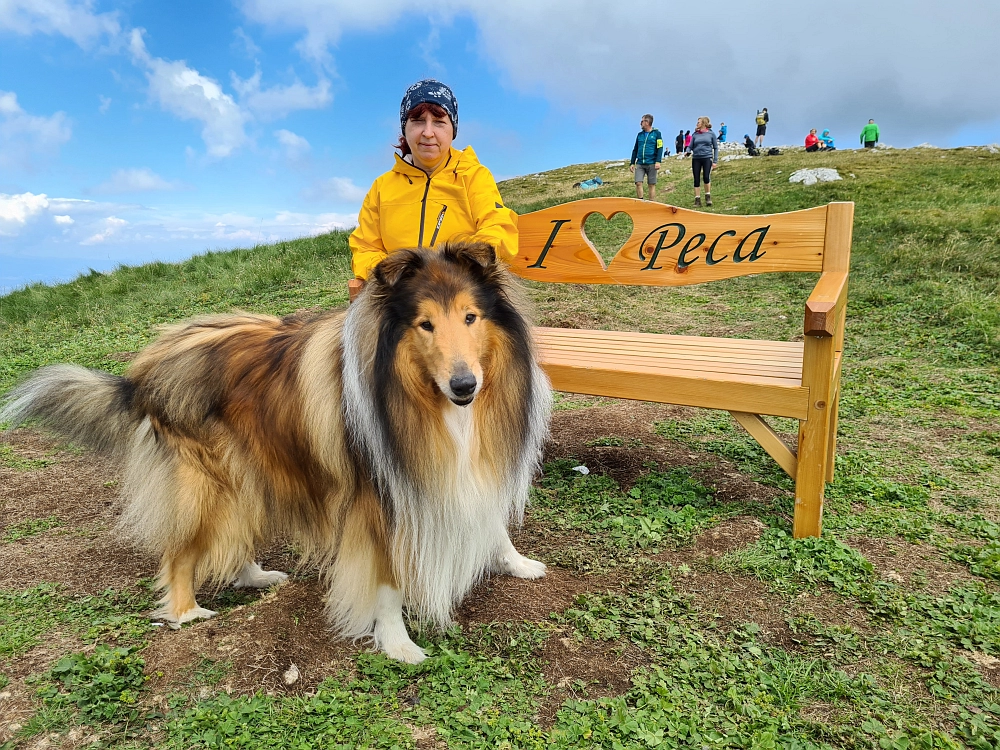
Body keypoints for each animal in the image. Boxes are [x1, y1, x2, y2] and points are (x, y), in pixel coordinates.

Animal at [0, 242, 552, 664]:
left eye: (470, 317)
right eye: (425, 324)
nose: (465, 386)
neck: (420, 397)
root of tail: (143, 369)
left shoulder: (471, 468)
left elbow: (492, 523)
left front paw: (517, 563)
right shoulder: (377, 501)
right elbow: (386, 582)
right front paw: (398, 644)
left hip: (249, 473)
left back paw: (255, 575)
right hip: (206, 485)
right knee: (179, 551)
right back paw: (185, 612)